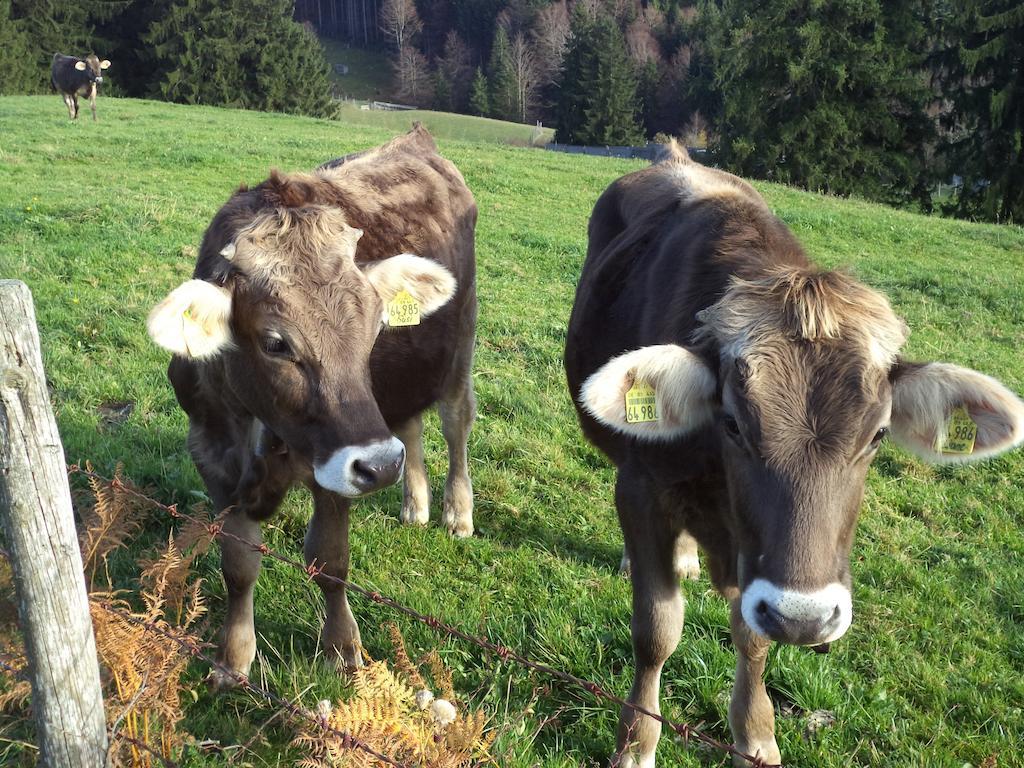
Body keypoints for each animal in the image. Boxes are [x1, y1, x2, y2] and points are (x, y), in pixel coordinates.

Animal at [149, 124, 479, 684]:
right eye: (275, 343)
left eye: (374, 327)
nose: (380, 466)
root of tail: (416, 139)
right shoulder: (210, 453)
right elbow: (238, 564)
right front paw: (233, 658)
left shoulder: (338, 465)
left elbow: (330, 561)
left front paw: (343, 649)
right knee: (409, 426)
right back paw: (414, 504)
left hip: (459, 349)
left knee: (455, 426)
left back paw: (456, 514)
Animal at [565, 143, 1019, 765]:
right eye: (732, 422)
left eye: (878, 435)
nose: (804, 618)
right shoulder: (641, 488)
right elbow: (656, 628)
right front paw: (636, 741)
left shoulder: (755, 564)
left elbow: (752, 637)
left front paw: (756, 736)